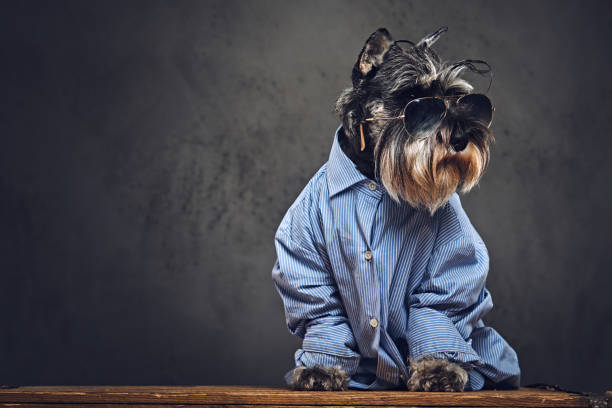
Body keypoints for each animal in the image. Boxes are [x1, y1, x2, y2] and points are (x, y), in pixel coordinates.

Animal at [272, 26, 520, 392]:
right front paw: (320, 369)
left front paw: (439, 369)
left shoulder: (447, 264)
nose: (462, 138)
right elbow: (324, 317)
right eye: (413, 99)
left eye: (460, 100)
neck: (373, 175)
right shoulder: (305, 261)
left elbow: (437, 311)